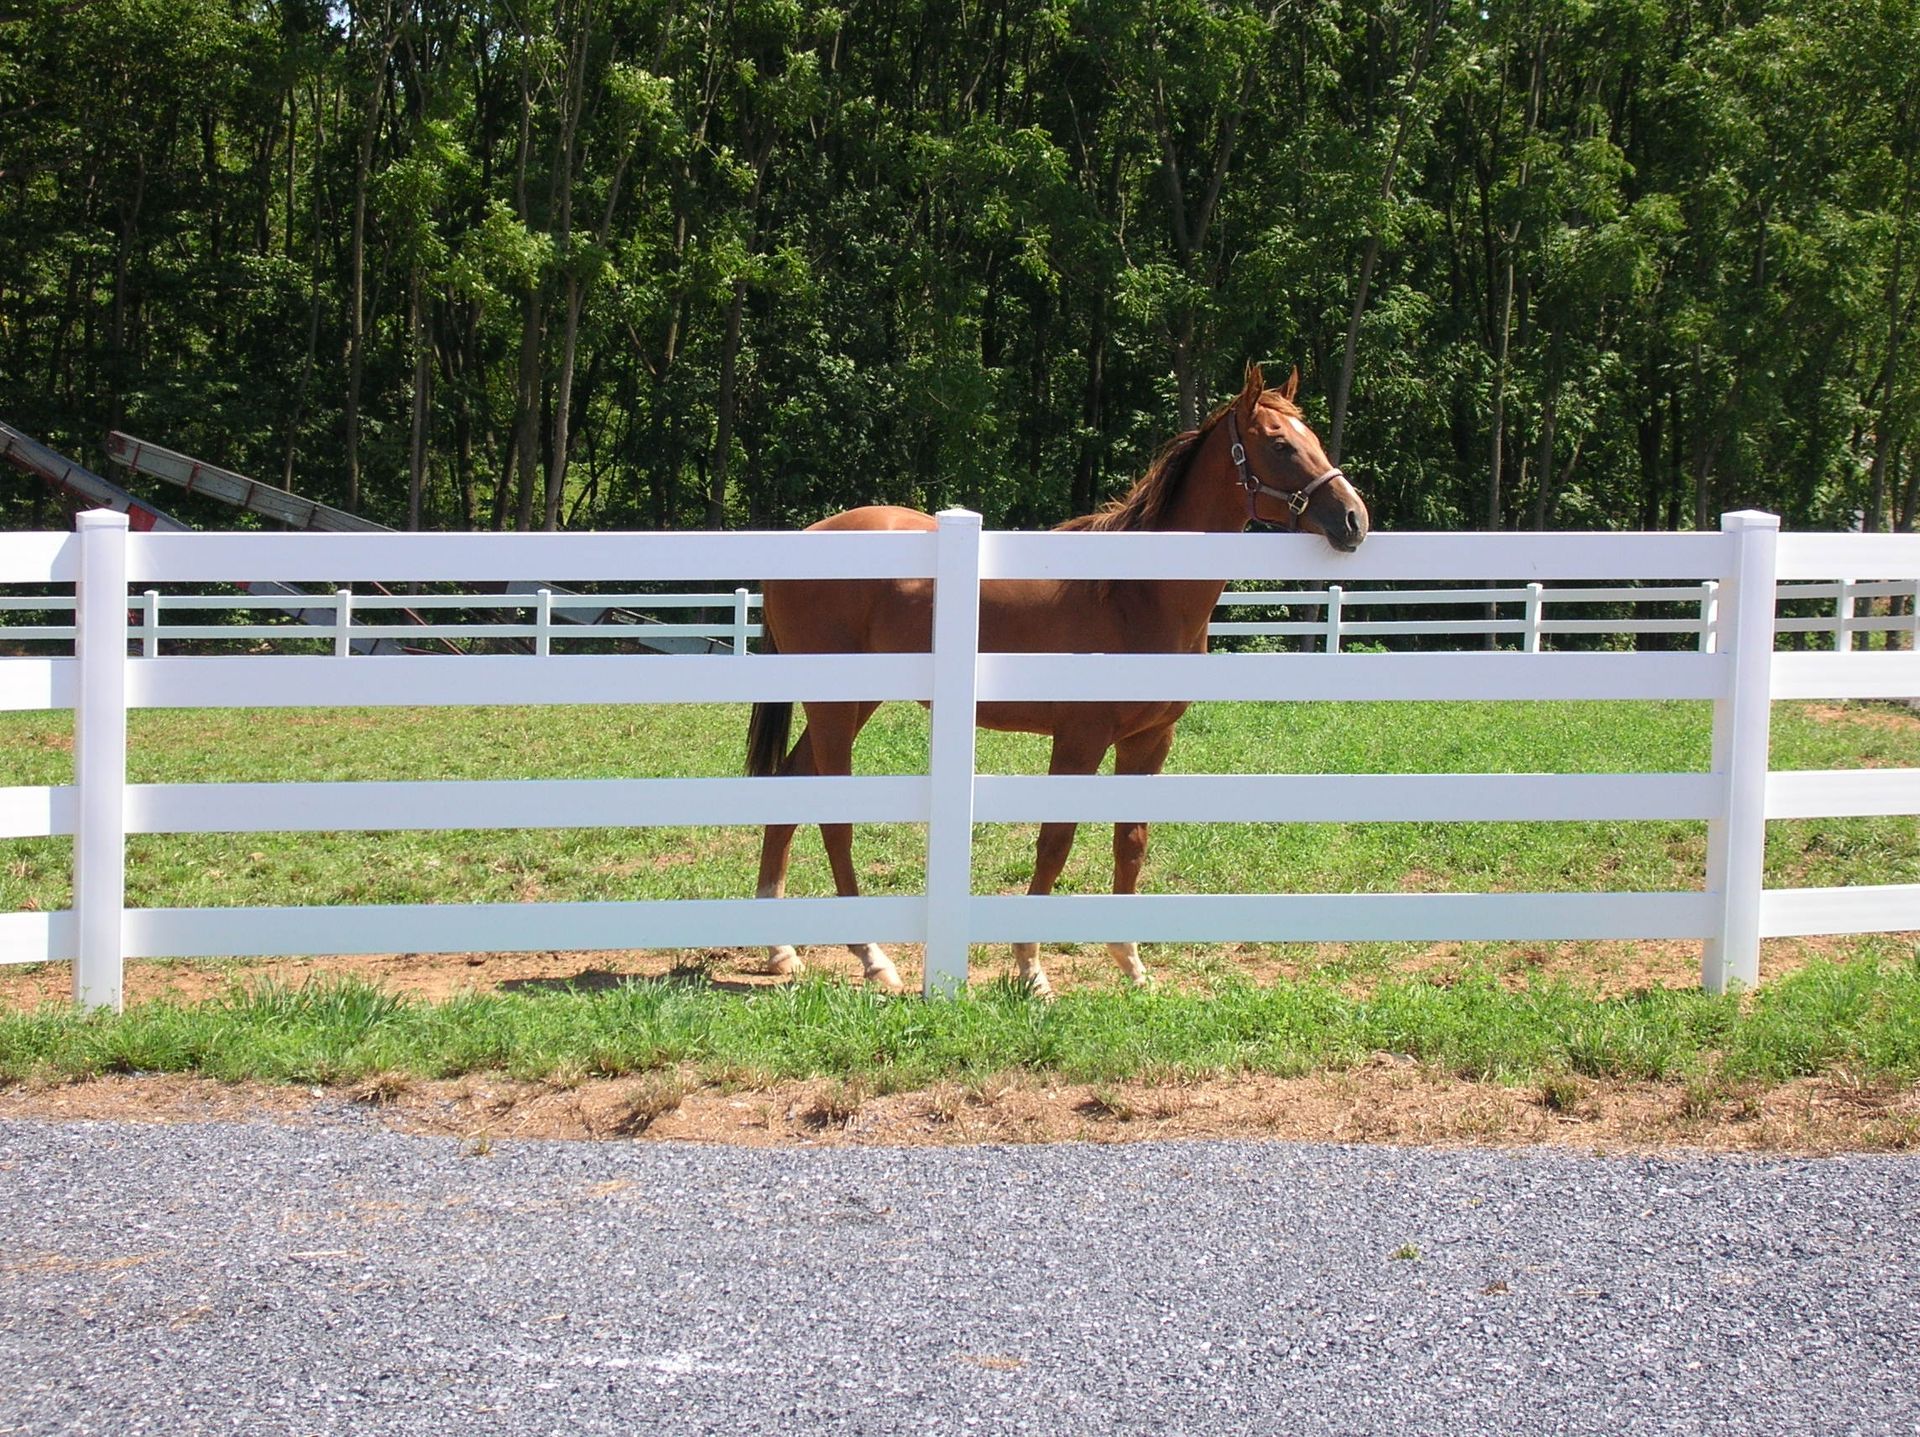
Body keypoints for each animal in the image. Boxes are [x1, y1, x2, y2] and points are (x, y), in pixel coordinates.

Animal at [744, 363, 1369, 996]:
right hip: (836, 704)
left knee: (789, 787)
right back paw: (873, 957)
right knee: (831, 813)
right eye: (1280, 443)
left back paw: (780, 949)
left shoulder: (1150, 741)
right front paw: (1031, 969)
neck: (1135, 594)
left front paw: (1131, 964)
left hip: (854, 700)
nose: (1354, 518)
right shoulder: (1080, 739)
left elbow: (1130, 842)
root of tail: (805, 539)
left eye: (1313, 437)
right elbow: (1056, 840)